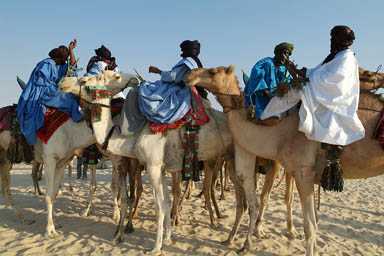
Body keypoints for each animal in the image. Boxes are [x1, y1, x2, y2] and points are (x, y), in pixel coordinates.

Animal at [182, 65, 384, 256]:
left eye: (213, 71)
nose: (189, 76)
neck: (279, 135)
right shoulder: (294, 171)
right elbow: (302, 215)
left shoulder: (302, 172)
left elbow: (308, 224)